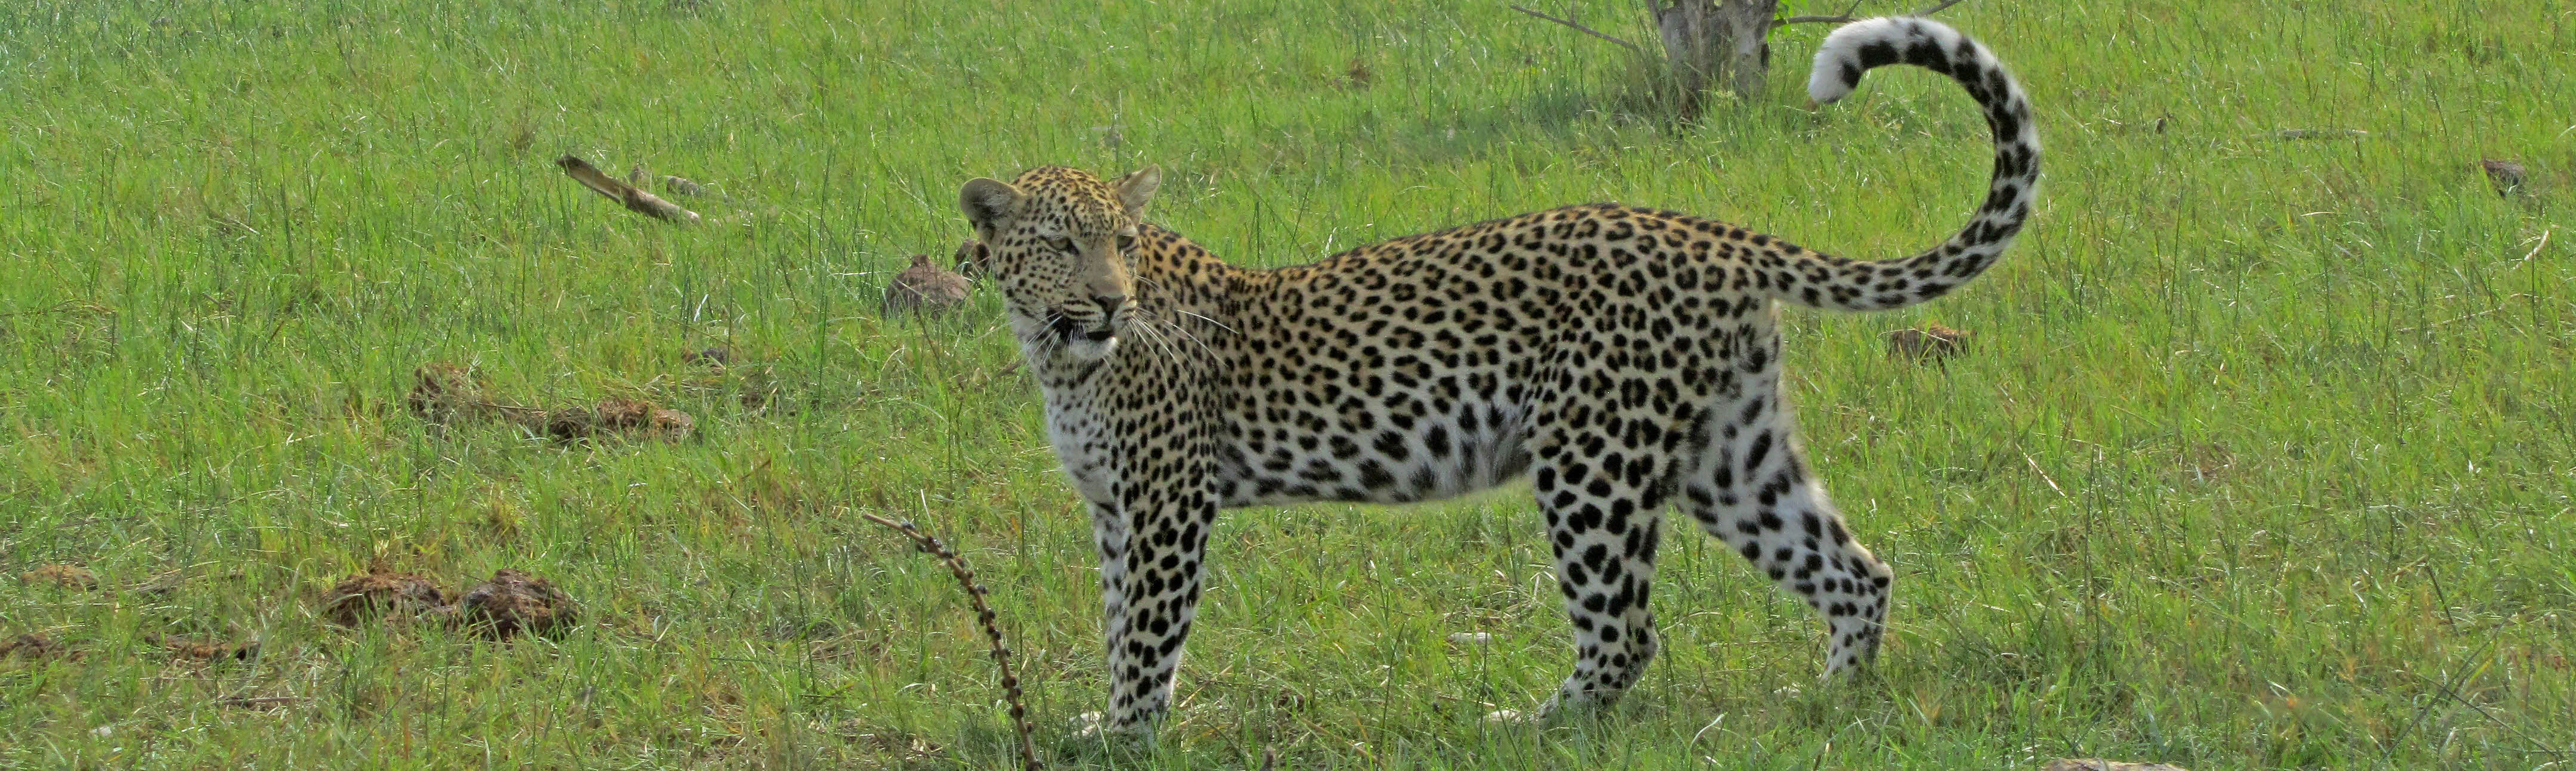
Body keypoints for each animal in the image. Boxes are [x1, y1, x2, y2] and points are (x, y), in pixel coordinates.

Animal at [958, 15, 2040, 732]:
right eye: (1060, 245)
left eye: (1123, 243)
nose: (1109, 300)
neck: (1057, 354)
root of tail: (1706, 230)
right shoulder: (1115, 507)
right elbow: (1117, 622)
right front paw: (1106, 723)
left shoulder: (1169, 503)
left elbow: (1147, 630)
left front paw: (1127, 735)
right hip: (1730, 453)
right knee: (1854, 571)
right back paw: (1829, 701)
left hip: (1592, 458)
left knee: (1625, 630)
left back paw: (1532, 724)